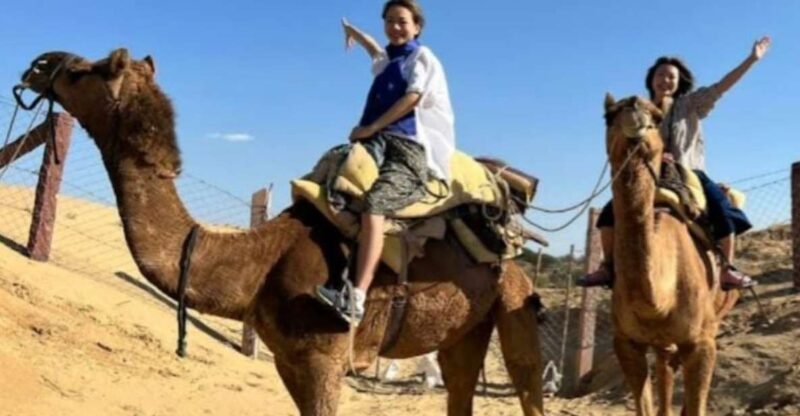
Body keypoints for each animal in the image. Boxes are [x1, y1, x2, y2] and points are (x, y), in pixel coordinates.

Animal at [17, 48, 544, 416]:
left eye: (84, 70)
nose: (39, 64)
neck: (258, 262)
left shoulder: (323, 358)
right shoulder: (286, 360)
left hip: (514, 299)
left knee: (527, 382)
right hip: (467, 326)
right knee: (461, 385)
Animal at [603, 94, 739, 416]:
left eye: (655, 115)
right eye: (608, 115)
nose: (633, 109)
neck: (657, 301)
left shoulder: (702, 341)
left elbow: (697, 403)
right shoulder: (625, 341)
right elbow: (642, 403)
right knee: (666, 362)